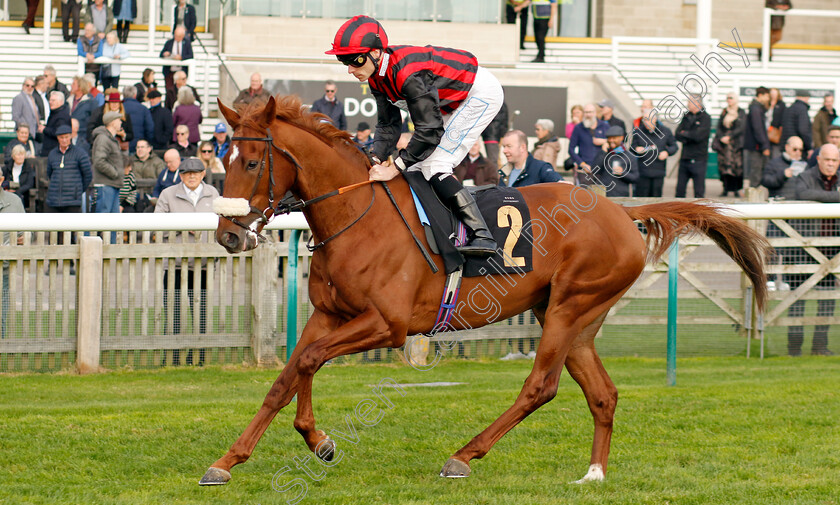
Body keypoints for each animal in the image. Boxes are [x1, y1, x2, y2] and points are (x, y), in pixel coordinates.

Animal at [202, 95, 768, 484]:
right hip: (575, 316)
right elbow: (290, 374)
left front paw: (315, 441)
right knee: (602, 393)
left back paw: (463, 455)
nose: (229, 236)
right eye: (222, 160)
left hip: (569, 307)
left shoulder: (387, 325)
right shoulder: (328, 314)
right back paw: (593, 474)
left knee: (541, 386)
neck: (356, 214)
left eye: (251, 163)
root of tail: (620, 212)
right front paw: (235, 459)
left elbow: (309, 360)